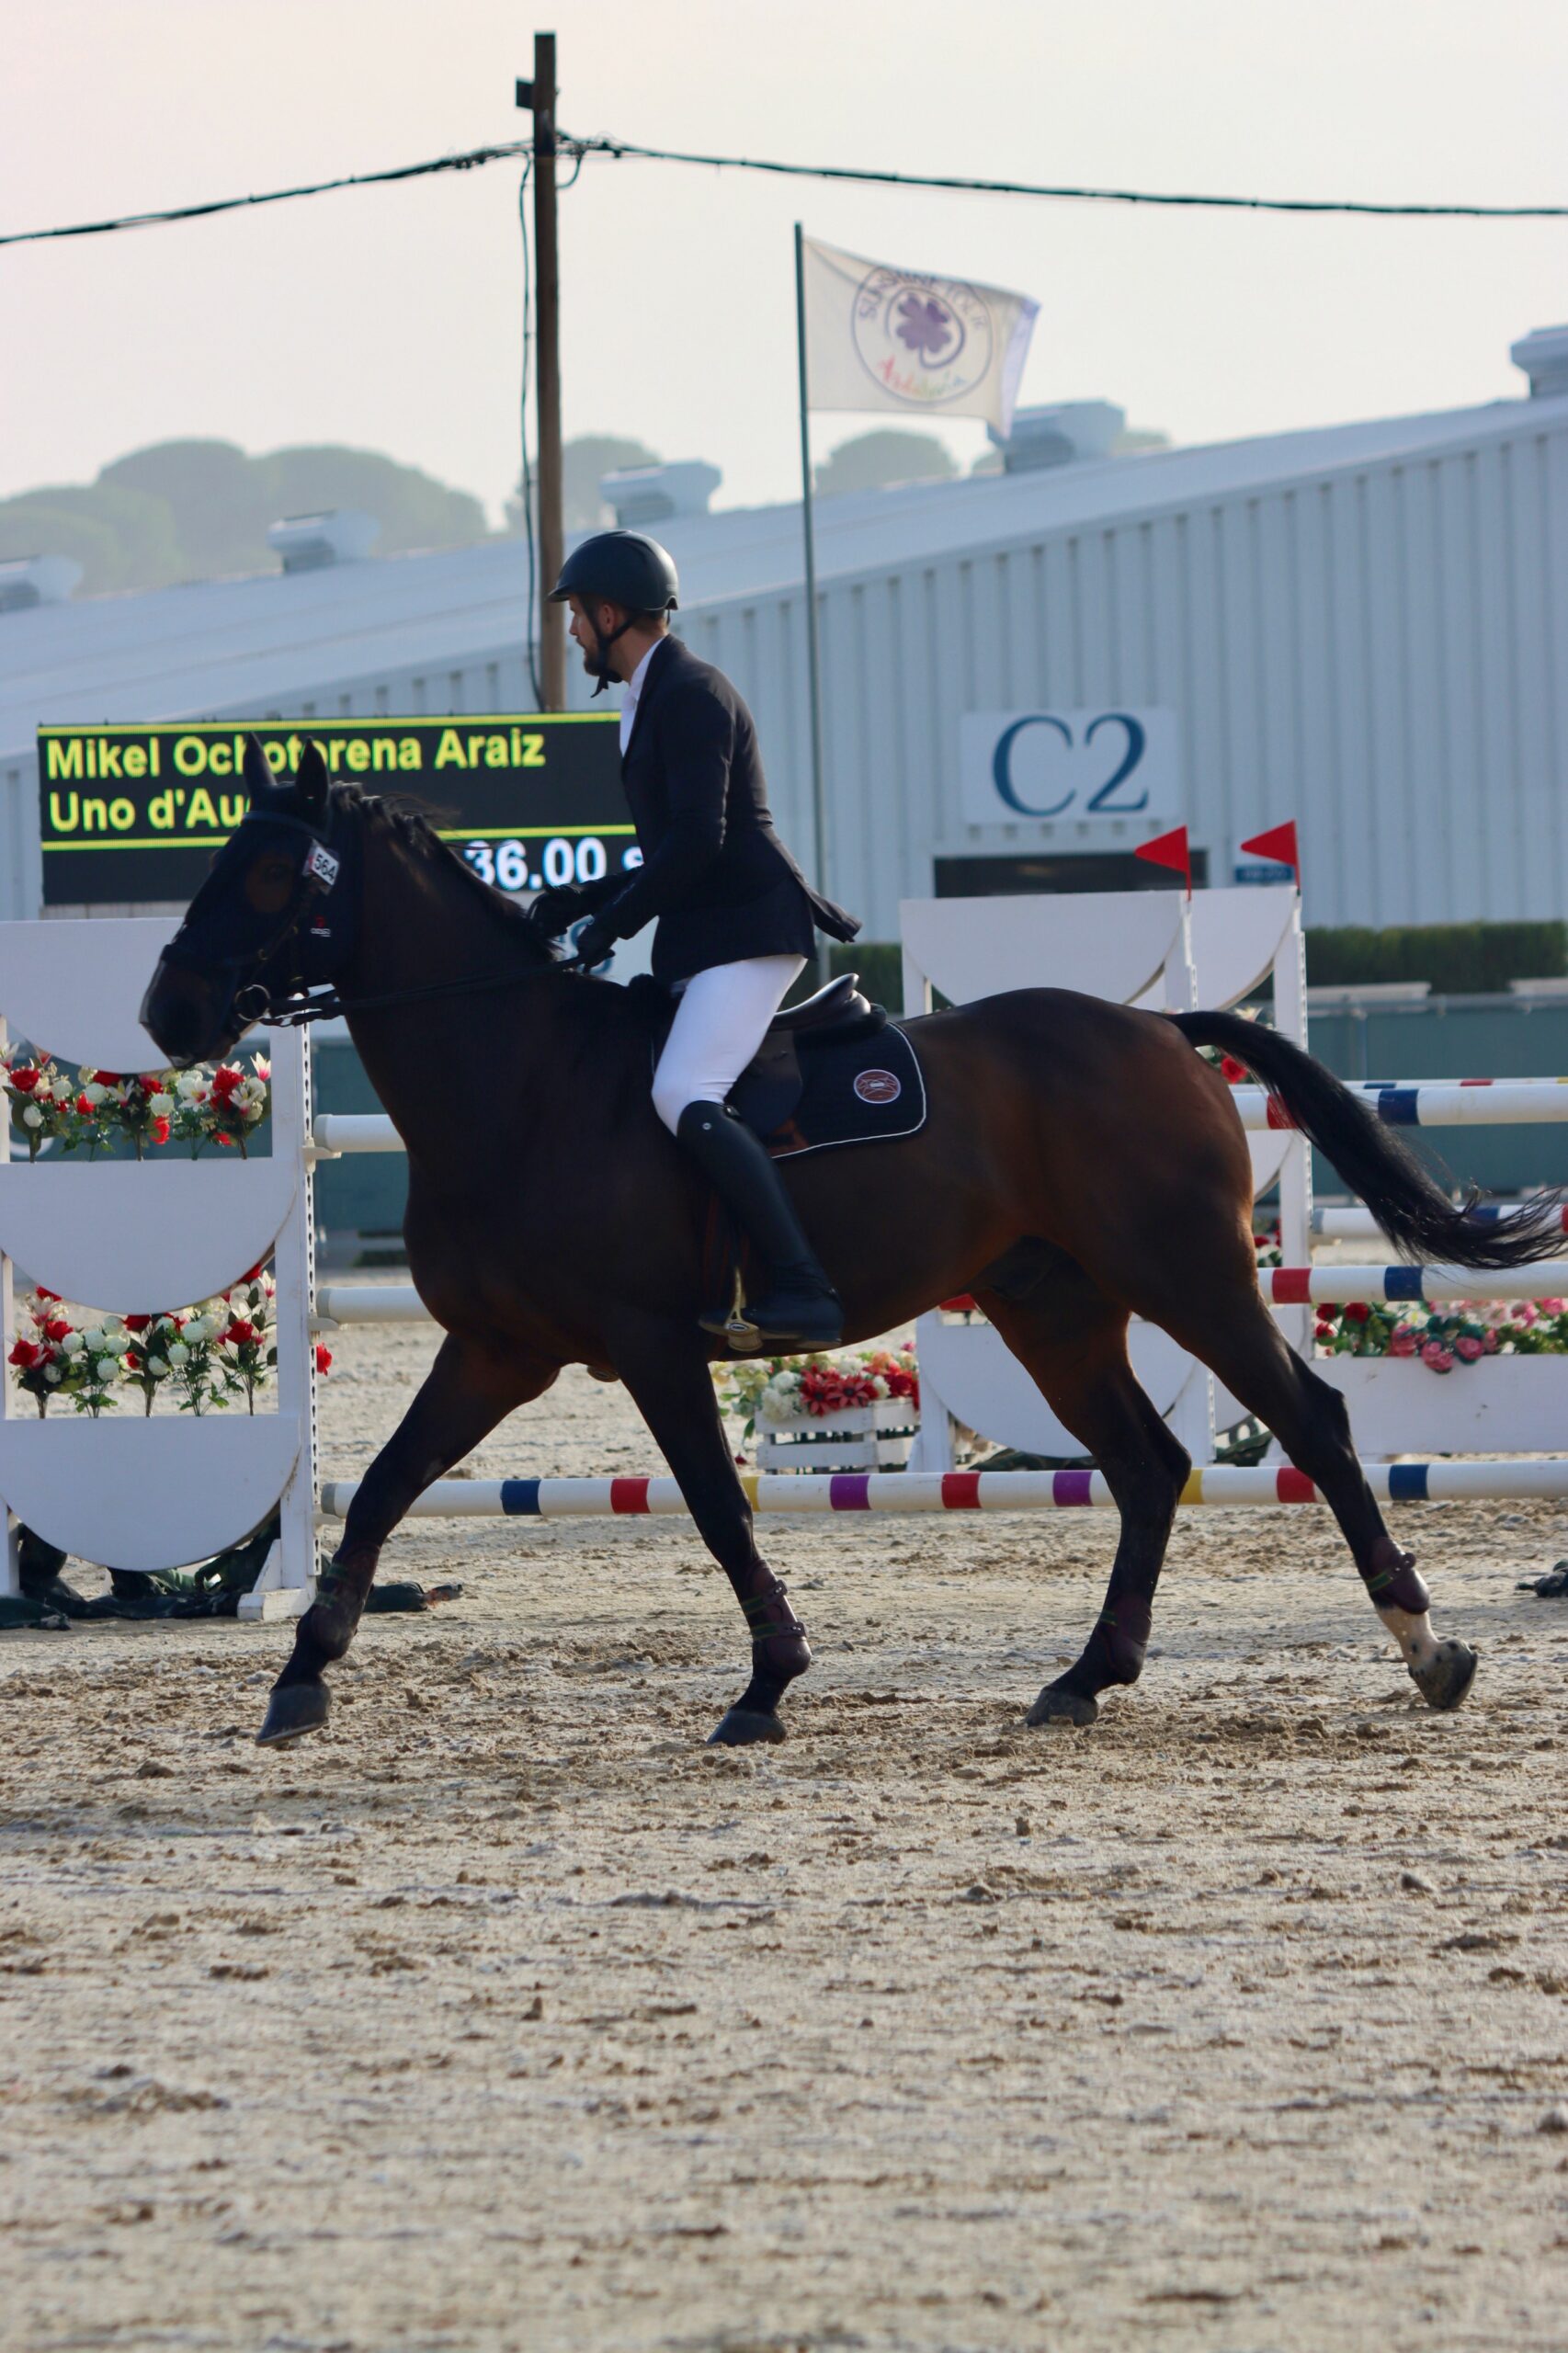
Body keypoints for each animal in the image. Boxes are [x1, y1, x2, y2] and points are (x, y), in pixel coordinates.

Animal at [141, 733, 1553, 1750]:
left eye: (268, 874)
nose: (168, 1013)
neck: (519, 1085)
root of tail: (1159, 1029)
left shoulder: (649, 1344)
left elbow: (715, 1508)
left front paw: (767, 1684)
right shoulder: (496, 1349)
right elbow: (382, 1487)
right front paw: (300, 1675)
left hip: (1183, 1273)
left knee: (1309, 1421)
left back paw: (1427, 1649)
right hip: (1055, 1306)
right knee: (1148, 1468)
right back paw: (1085, 1677)